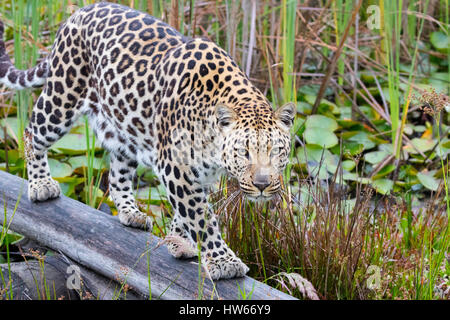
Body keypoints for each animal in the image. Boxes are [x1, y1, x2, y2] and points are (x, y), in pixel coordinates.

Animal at [0, 1, 296, 278]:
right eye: (243, 152)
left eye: (276, 151)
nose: (262, 184)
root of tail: (80, 11)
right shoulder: (175, 166)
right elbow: (201, 217)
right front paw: (224, 261)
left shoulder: (198, 175)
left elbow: (186, 212)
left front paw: (179, 242)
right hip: (62, 98)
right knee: (32, 132)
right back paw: (41, 185)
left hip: (124, 131)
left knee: (117, 174)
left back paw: (131, 213)